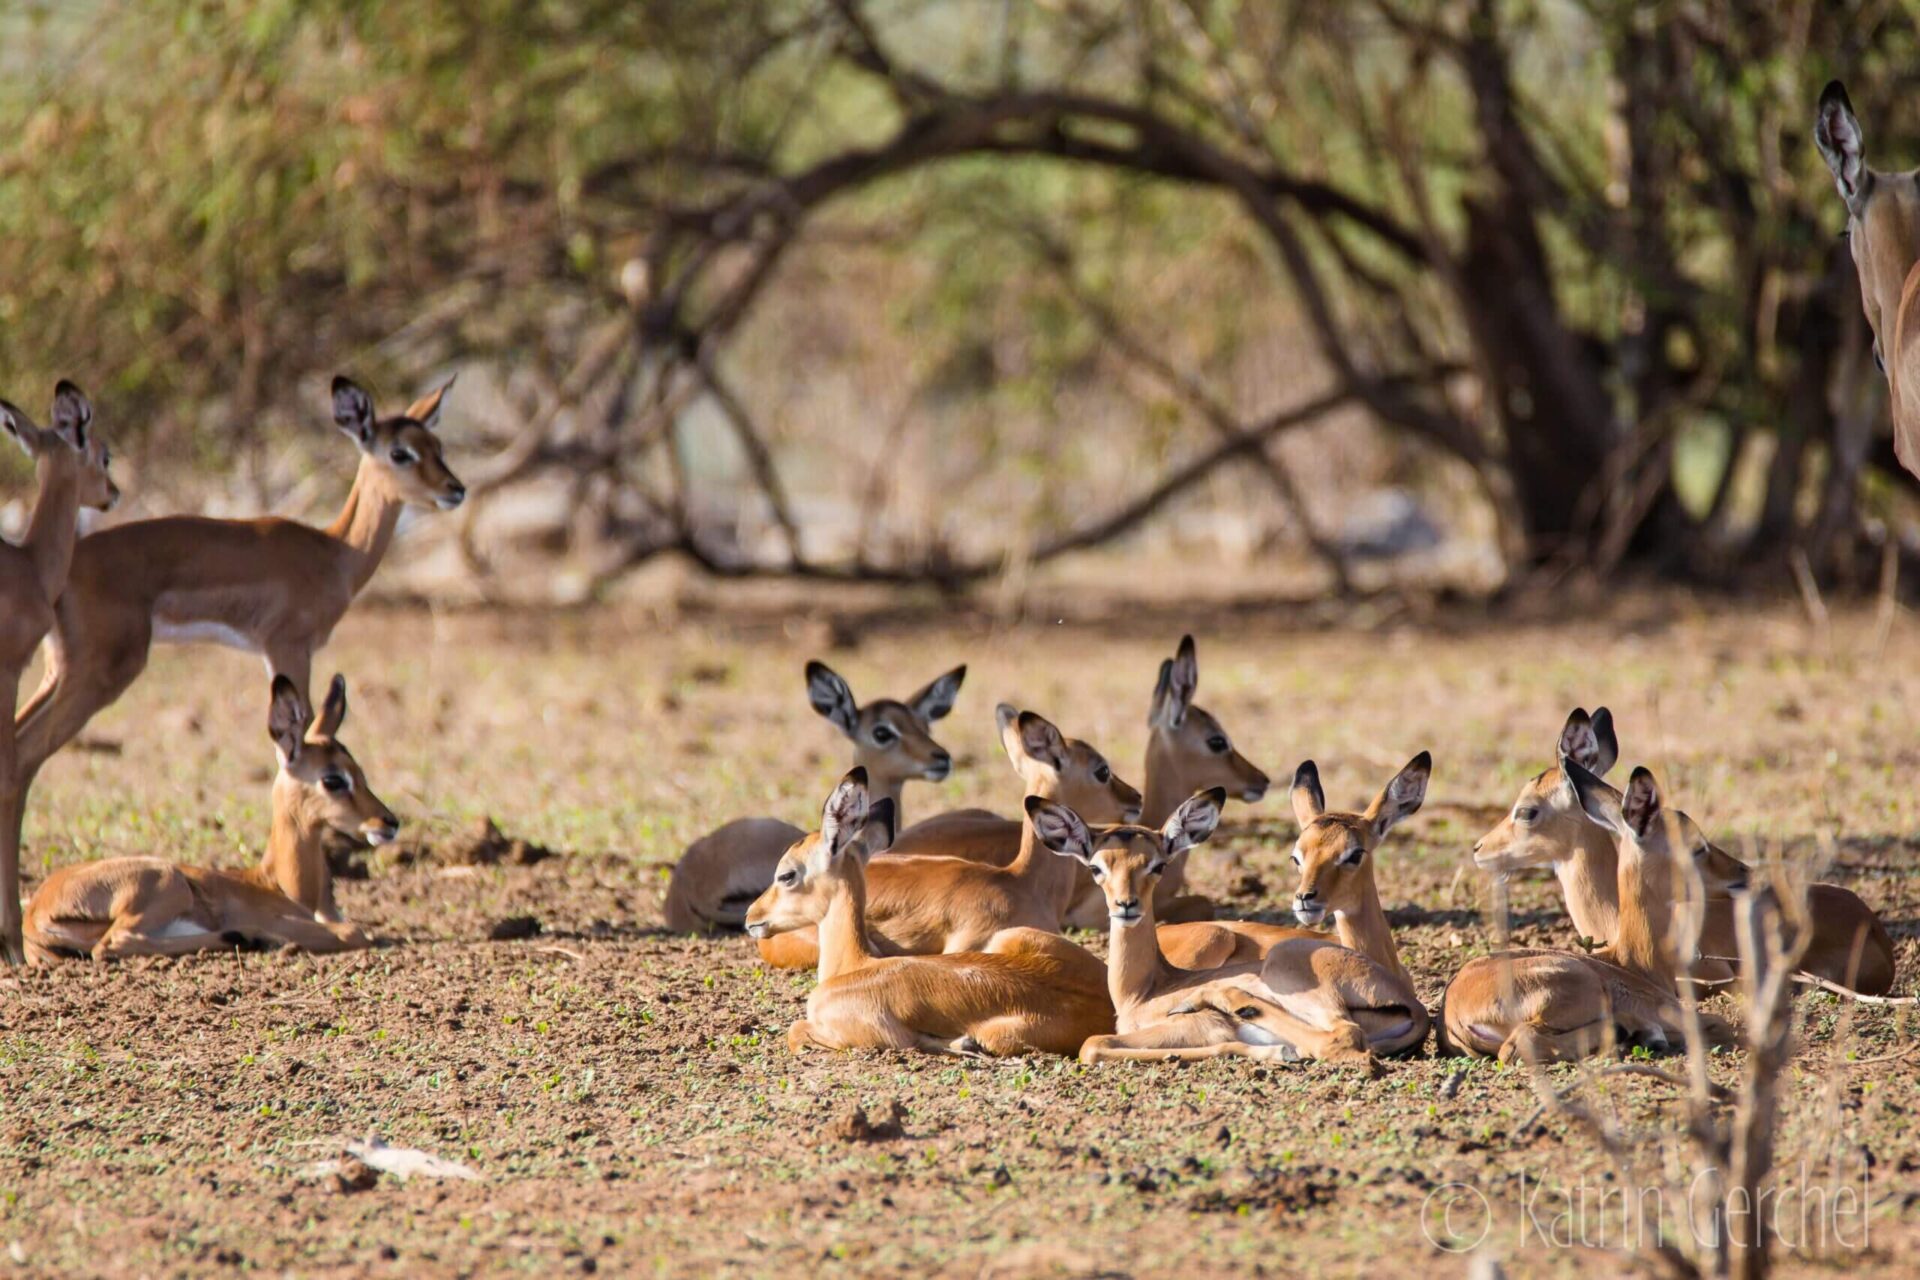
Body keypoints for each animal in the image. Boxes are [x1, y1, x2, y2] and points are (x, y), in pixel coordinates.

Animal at [12, 375, 463, 798]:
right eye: (400, 452)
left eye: (437, 446)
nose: (455, 490)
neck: (336, 552)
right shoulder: (287, 647)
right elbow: (304, 727)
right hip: (101, 670)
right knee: (26, 751)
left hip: (57, 670)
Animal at [22, 673, 396, 963]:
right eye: (333, 779)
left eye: (359, 772)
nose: (389, 822)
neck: (282, 885)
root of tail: (36, 911)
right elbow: (355, 931)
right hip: (168, 881)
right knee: (112, 943)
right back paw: (247, 935)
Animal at [743, 768, 1114, 1058]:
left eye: (786, 874)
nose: (751, 917)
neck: (852, 967)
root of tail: (1106, 1006)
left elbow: (796, 1030)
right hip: (1009, 938)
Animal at [1030, 755, 1434, 1069]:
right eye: (1096, 867)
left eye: (1157, 865)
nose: (1126, 905)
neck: (1144, 990)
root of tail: (1410, 1000)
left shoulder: (1194, 1028)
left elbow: (1093, 1044)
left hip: (1290, 970)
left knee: (1341, 1036)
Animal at [1442, 760, 1737, 1063]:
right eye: (1696, 847)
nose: (1743, 871)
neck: (1637, 964)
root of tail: (1453, 1010)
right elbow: (1721, 1023)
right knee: (1517, 1044)